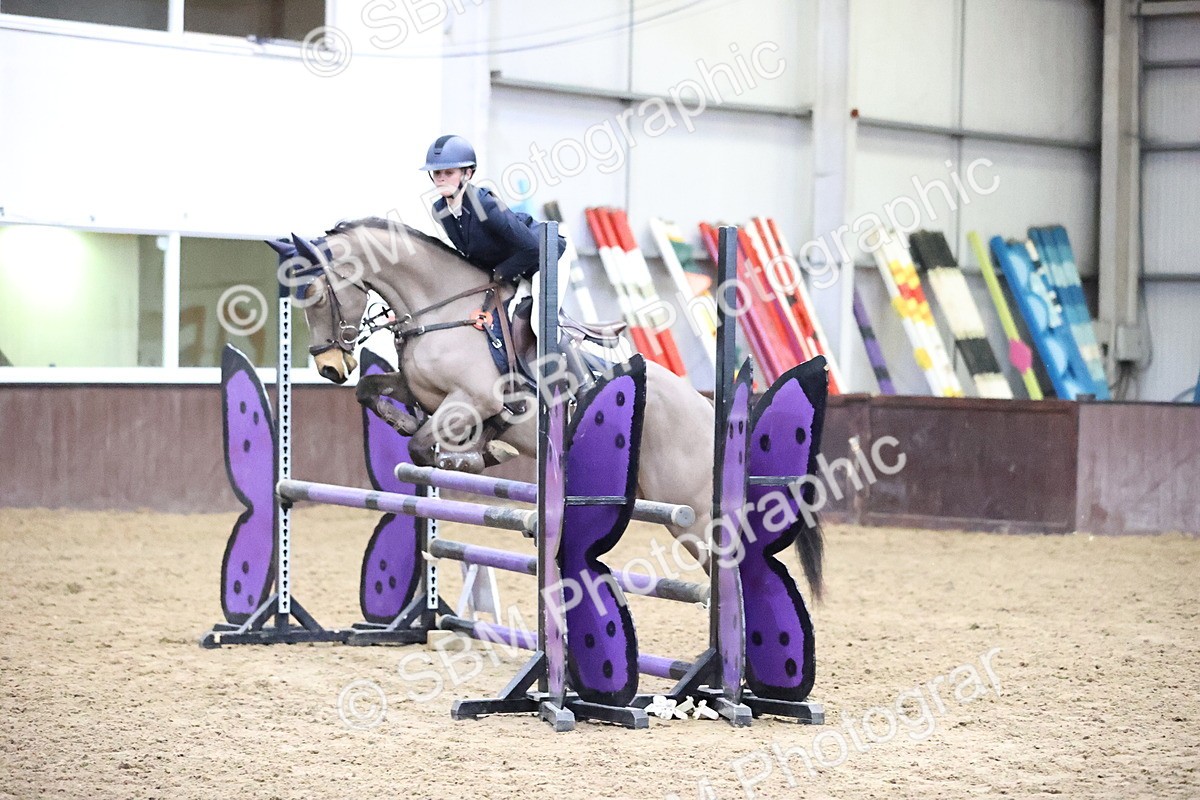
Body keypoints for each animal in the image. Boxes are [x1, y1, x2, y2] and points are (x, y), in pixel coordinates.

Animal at [272, 216, 823, 596]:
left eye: (316, 293)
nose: (329, 368)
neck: (444, 311)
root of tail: (713, 414)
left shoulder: (471, 400)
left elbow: (425, 446)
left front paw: (475, 455)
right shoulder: (421, 390)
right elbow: (376, 396)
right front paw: (408, 423)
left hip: (691, 511)